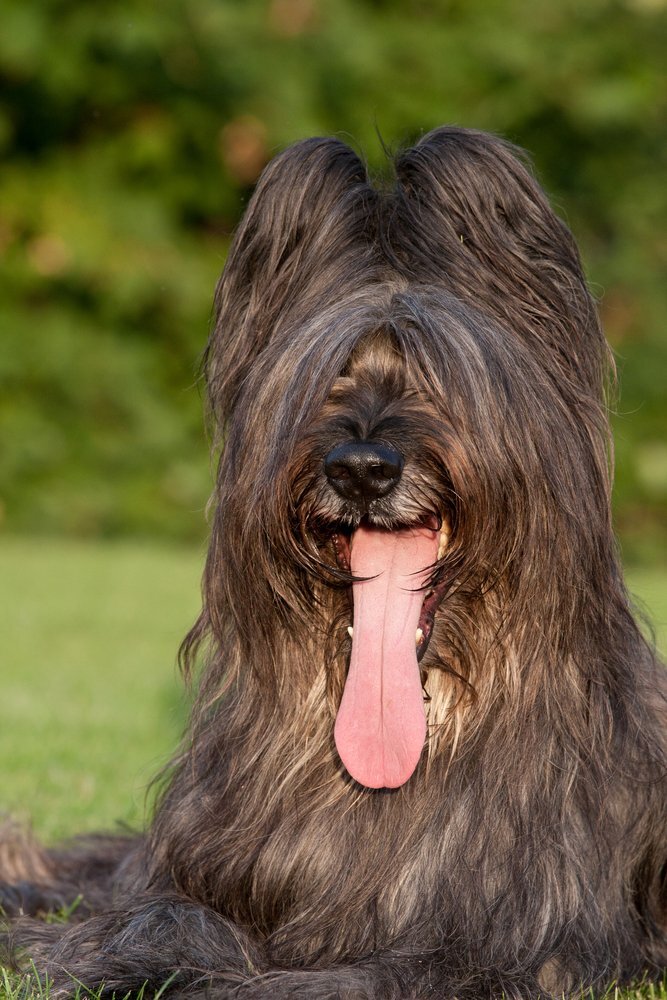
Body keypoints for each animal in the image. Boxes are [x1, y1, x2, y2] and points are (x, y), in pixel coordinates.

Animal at [1, 129, 667, 996]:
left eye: (437, 375)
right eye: (329, 377)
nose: (360, 469)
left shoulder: (511, 944)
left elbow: (358, 976)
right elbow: (165, 908)